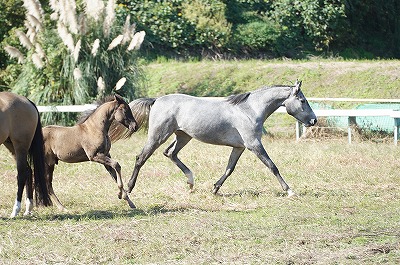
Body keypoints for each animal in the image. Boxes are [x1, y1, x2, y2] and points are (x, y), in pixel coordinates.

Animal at [110, 79, 316, 199]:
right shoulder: (254, 145)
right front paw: (290, 191)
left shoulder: (239, 147)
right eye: (303, 100)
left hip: (183, 136)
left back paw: (191, 181)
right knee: (141, 158)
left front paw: (215, 188)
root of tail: (156, 100)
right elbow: (272, 166)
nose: (314, 120)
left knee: (170, 153)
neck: (250, 110)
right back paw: (129, 189)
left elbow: (229, 169)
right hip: (158, 135)